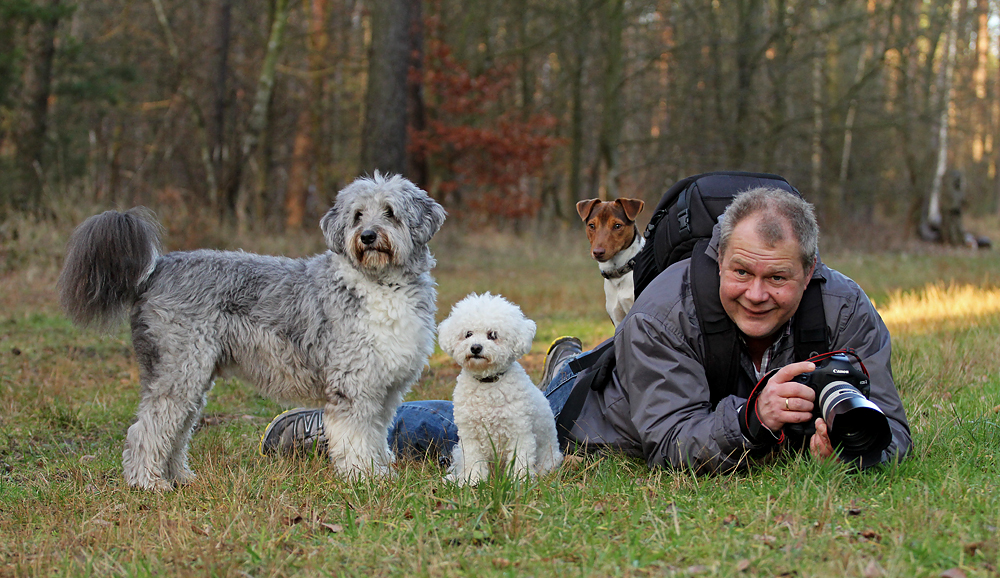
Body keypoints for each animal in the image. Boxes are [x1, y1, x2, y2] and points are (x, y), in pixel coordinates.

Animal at [56, 173, 444, 488]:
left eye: (390, 212)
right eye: (358, 215)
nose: (367, 236)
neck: (381, 285)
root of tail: (157, 268)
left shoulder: (384, 390)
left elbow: (376, 436)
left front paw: (382, 473)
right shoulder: (353, 386)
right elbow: (356, 438)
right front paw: (363, 478)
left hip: (192, 378)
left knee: (175, 432)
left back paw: (179, 477)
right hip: (179, 371)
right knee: (146, 429)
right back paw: (147, 483)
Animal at [438, 290, 564, 484]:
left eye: (493, 335)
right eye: (468, 334)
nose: (475, 347)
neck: (487, 382)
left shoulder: (519, 432)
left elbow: (520, 460)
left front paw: (519, 481)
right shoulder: (470, 435)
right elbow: (474, 460)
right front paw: (473, 481)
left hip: (549, 457)